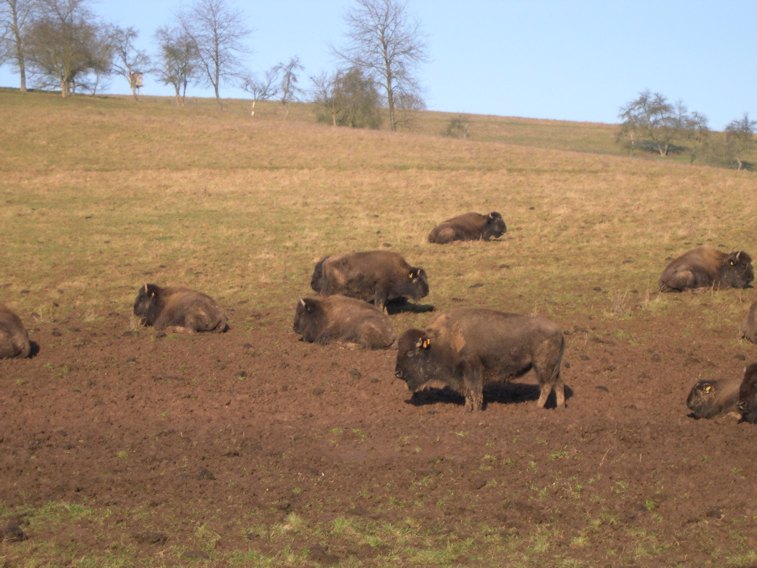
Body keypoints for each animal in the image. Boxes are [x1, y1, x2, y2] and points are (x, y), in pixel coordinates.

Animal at [392, 308, 564, 410]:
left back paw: (538, 407)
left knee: (546, 385)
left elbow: (474, 390)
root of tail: (558, 330)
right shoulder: (460, 375)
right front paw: (467, 409)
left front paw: (476, 410)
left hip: (542, 366)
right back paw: (560, 406)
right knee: (558, 384)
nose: (397, 373)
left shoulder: (472, 369)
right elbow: (467, 391)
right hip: (553, 367)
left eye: (410, 353)